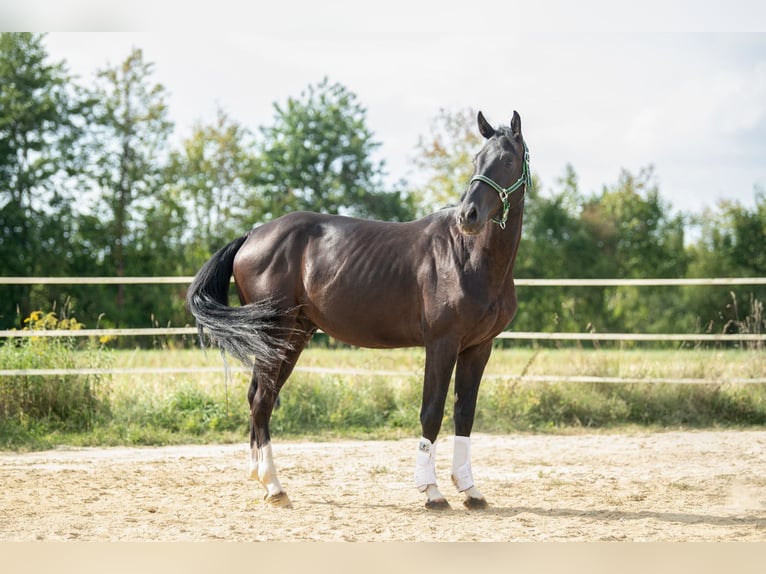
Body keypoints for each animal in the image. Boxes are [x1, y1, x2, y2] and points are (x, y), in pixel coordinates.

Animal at [186, 110, 530, 510]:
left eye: (506, 160)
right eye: (476, 159)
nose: (468, 216)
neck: (469, 257)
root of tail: (252, 236)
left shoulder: (478, 347)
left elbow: (464, 413)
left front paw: (469, 489)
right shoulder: (441, 344)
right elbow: (431, 412)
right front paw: (431, 491)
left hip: (293, 336)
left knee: (259, 396)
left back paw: (263, 479)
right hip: (276, 334)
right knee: (261, 399)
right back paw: (274, 486)